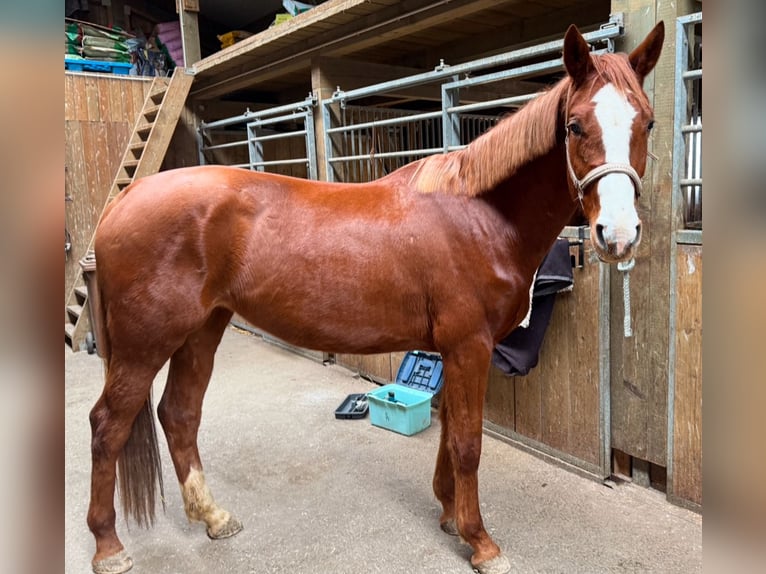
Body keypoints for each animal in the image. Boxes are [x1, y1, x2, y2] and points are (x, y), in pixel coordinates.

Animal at [87, 23, 664, 574]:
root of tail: (120, 205)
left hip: (202, 330)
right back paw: (108, 547)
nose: (618, 235)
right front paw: (481, 542)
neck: (478, 215)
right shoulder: (469, 347)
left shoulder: (453, 351)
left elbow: (449, 434)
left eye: (648, 123)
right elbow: (468, 444)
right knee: (107, 427)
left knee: (179, 415)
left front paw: (449, 515)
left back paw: (213, 517)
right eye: (575, 126)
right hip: (145, 344)